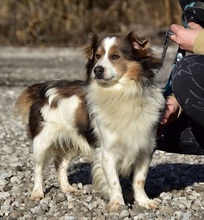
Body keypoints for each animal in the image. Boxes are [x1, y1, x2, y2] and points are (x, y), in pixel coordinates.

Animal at [15, 31, 165, 212]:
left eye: (115, 56)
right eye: (97, 56)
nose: (97, 70)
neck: (121, 94)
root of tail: (42, 88)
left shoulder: (145, 149)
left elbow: (139, 180)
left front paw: (144, 201)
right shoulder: (107, 152)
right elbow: (114, 182)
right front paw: (117, 204)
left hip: (73, 141)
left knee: (60, 164)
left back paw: (66, 188)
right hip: (42, 141)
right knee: (38, 168)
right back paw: (37, 192)